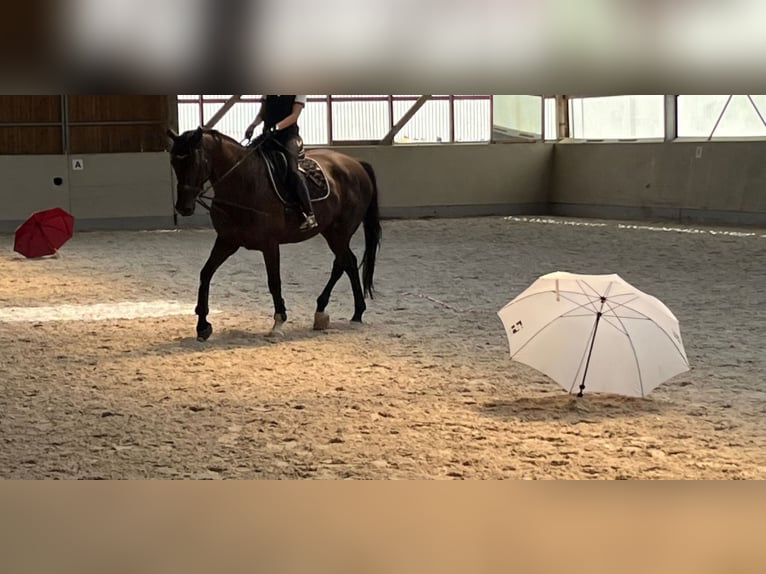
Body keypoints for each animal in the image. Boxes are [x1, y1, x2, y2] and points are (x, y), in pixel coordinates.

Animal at [169, 127, 384, 342]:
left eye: (195, 161)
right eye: (174, 162)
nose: (183, 207)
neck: (244, 183)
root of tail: (356, 163)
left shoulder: (269, 244)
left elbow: (274, 282)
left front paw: (278, 323)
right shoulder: (226, 241)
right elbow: (205, 273)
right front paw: (202, 325)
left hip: (340, 232)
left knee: (343, 262)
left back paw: (333, 311)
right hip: (331, 231)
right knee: (348, 262)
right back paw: (349, 312)